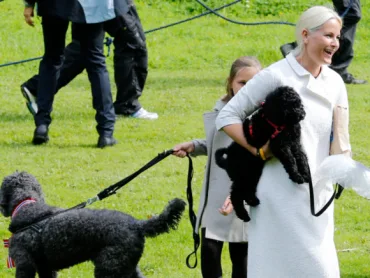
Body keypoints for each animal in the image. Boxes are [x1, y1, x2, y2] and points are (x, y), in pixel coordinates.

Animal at [0, 172, 185, 278]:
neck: (28, 208)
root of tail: (137, 224)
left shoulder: (25, 265)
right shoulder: (46, 268)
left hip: (109, 269)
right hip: (127, 268)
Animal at [215, 86, 310, 222]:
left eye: (298, 103)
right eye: (287, 104)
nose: (302, 114)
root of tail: (227, 159)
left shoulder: (295, 142)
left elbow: (301, 157)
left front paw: (305, 173)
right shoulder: (279, 145)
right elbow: (290, 159)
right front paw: (296, 176)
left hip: (252, 172)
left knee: (247, 190)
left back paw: (253, 201)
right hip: (241, 174)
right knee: (236, 195)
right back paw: (244, 215)